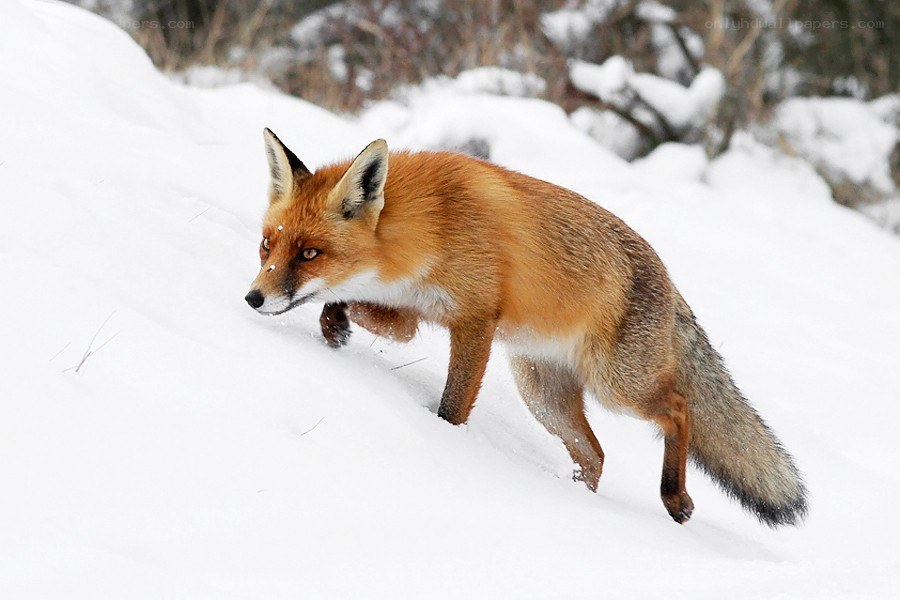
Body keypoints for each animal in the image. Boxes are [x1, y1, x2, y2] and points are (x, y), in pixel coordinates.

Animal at [245, 128, 808, 526]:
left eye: (310, 253)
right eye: (268, 244)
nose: (254, 298)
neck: (432, 225)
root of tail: (671, 285)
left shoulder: (475, 322)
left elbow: (453, 406)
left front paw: (446, 442)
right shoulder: (412, 313)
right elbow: (351, 307)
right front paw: (334, 325)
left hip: (617, 386)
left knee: (678, 409)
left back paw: (676, 497)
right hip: (543, 395)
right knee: (596, 456)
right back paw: (574, 501)